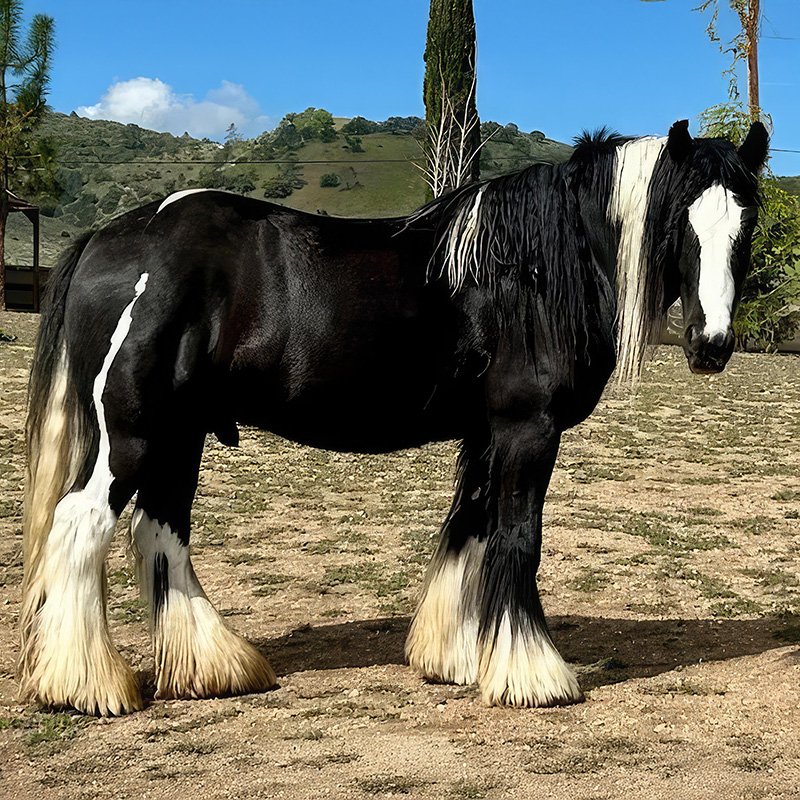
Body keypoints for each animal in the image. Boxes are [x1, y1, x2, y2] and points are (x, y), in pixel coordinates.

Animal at [18, 119, 768, 715]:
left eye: (747, 225)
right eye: (677, 221)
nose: (711, 345)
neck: (530, 272)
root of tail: (109, 238)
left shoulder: (487, 434)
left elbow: (469, 532)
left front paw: (456, 658)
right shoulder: (527, 430)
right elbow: (518, 538)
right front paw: (533, 675)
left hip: (180, 434)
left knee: (161, 530)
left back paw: (214, 667)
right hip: (134, 434)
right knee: (81, 525)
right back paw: (85, 687)